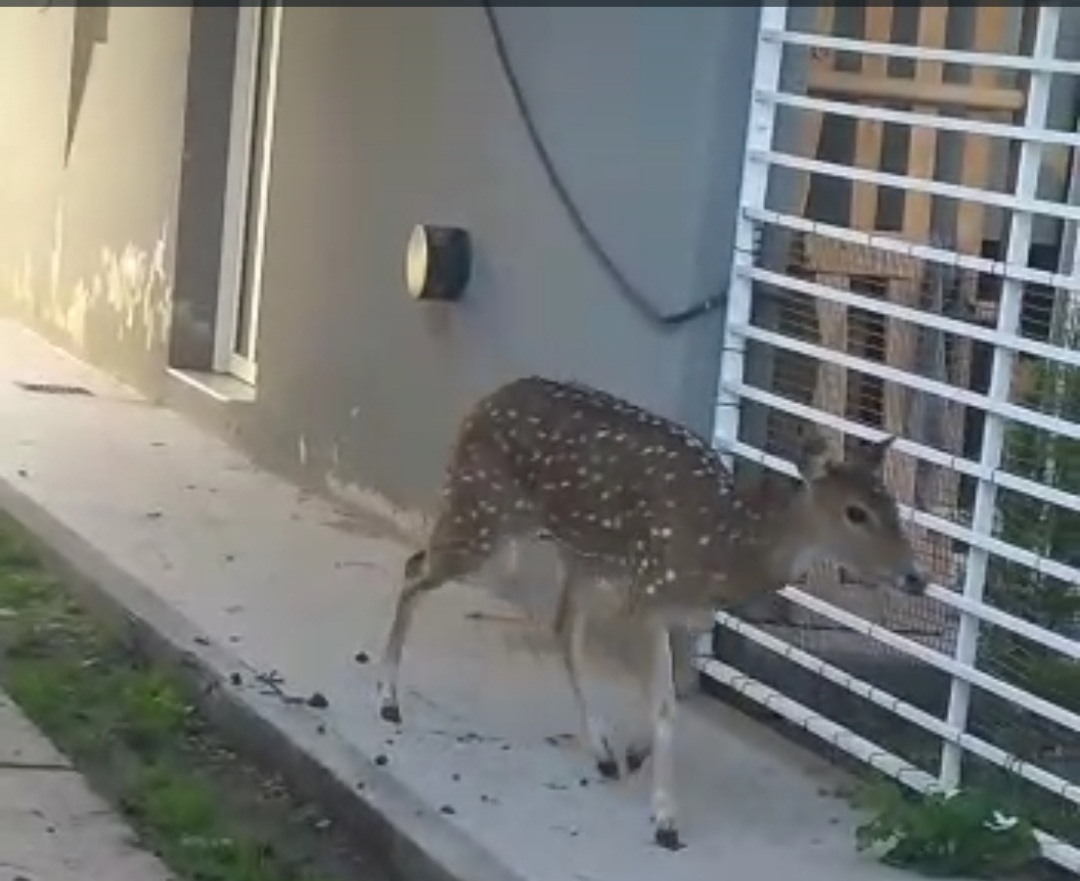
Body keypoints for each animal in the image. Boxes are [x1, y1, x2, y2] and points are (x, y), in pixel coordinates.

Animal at [374, 375, 927, 851]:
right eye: (855, 512)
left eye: (895, 506)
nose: (916, 577)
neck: (723, 551)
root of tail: (480, 405)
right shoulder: (647, 597)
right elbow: (665, 704)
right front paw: (665, 820)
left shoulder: (684, 616)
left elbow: (677, 689)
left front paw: (635, 754)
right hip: (482, 508)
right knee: (416, 568)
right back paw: (388, 701)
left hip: (576, 553)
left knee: (559, 626)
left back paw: (601, 750)